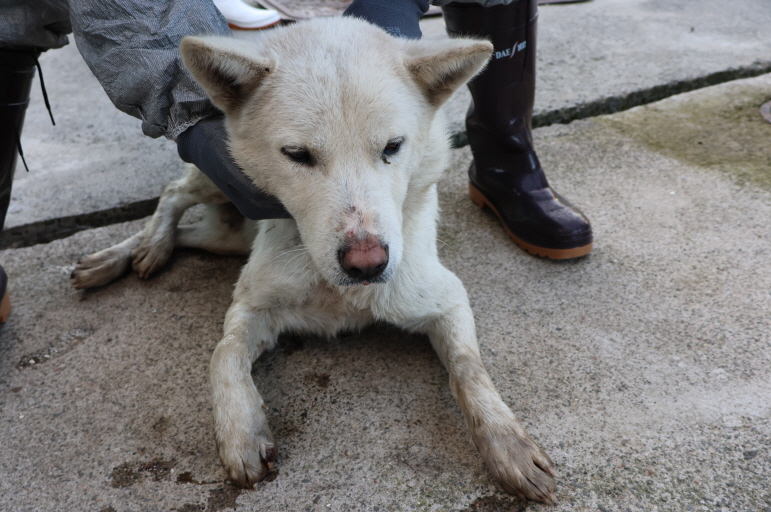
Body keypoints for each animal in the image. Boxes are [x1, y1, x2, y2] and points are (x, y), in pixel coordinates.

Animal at [69, 17, 556, 504]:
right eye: (298, 155)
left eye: (393, 146)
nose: (367, 264)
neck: (337, 288)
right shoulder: (252, 305)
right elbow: (224, 353)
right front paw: (240, 432)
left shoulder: (447, 298)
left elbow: (470, 370)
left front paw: (507, 445)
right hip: (218, 180)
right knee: (173, 194)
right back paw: (133, 251)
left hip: (225, 238)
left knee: (190, 231)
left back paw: (139, 251)